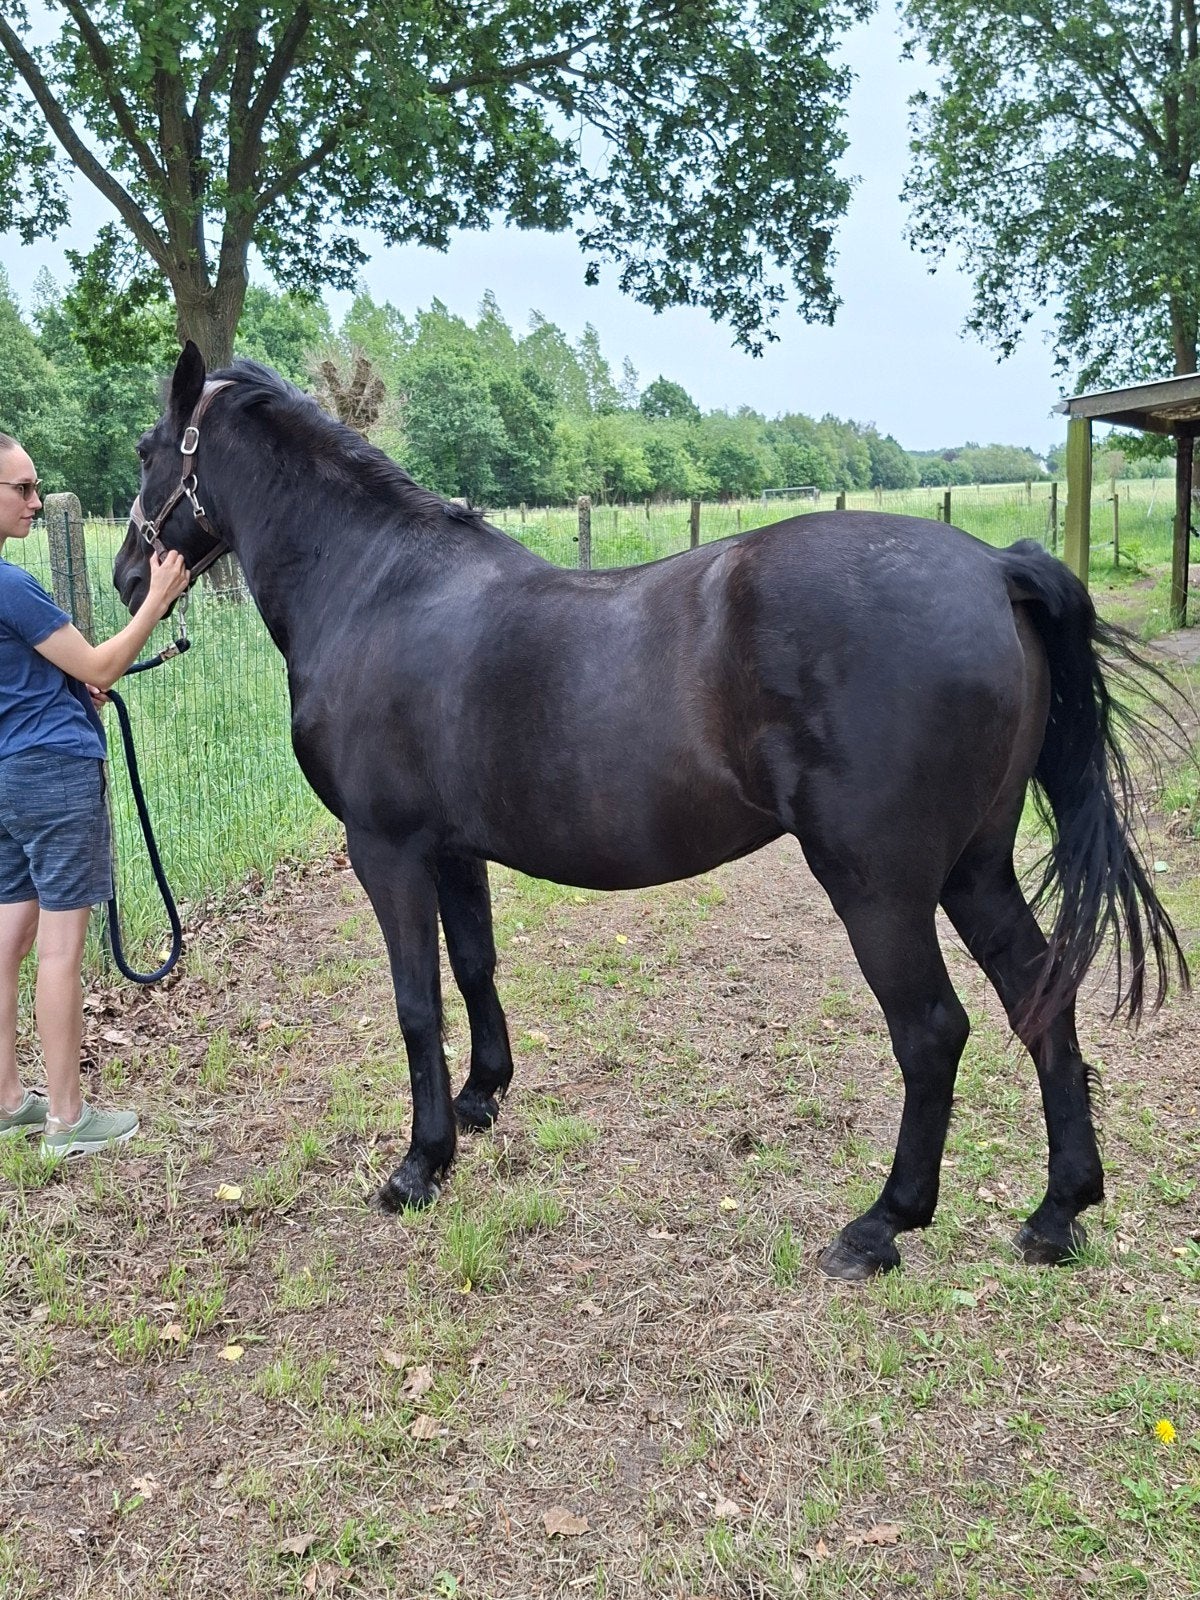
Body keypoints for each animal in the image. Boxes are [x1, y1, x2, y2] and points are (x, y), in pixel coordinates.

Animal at [114, 342, 1187, 1281]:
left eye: (146, 449)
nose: (129, 577)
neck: (376, 588)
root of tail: (994, 567)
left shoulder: (388, 850)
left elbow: (416, 1000)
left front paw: (420, 1165)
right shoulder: (454, 849)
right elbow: (473, 967)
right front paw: (481, 1098)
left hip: (879, 886)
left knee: (932, 1031)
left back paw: (881, 1225)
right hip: (974, 866)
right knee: (1039, 994)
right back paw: (1057, 1213)